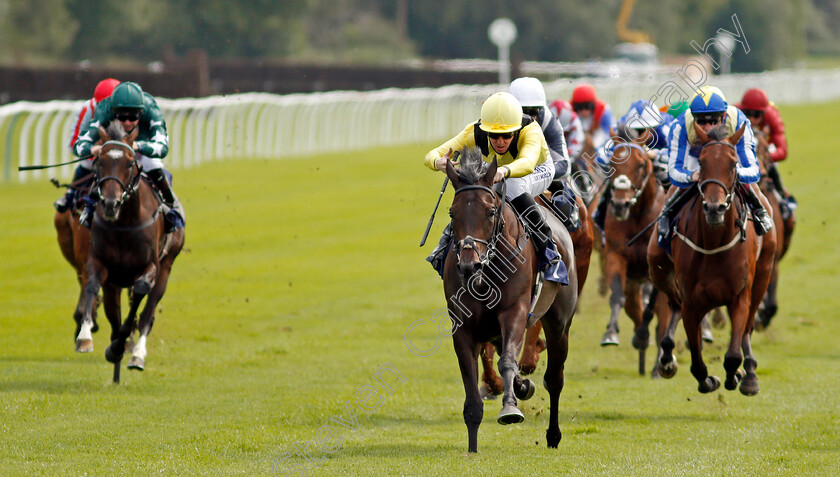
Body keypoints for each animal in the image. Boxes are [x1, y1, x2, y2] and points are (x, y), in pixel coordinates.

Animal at [74, 122, 185, 380]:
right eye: (99, 162)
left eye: (129, 163)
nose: (110, 204)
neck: (125, 223)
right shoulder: (99, 261)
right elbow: (92, 286)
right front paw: (85, 337)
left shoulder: (152, 266)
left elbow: (140, 296)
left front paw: (121, 347)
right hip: (114, 282)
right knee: (113, 313)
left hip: (166, 267)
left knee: (147, 314)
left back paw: (136, 355)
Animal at [440, 147, 576, 452]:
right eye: (453, 212)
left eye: (491, 212)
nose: (469, 265)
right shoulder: (462, 325)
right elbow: (470, 378)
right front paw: (472, 447)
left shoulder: (514, 311)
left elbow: (508, 362)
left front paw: (510, 409)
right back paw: (523, 387)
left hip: (559, 322)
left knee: (555, 379)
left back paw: (553, 435)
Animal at [596, 130, 668, 376]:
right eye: (612, 163)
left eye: (641, 164)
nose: (620, 204)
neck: (637, 217)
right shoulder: (616, 257)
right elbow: (617, 296)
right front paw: (610, 333)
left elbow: (659, 313)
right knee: (634, 308)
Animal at [648, 123, 776, 394]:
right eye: (702, 162)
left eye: (733, 163)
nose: (715, 208)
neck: (714, 244)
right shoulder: (692, 303)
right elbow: (697, 362)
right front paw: (709, 380)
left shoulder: (740, 296)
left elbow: (733, 355)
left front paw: (736, 375)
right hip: (658, 267)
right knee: (674, 302)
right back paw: (666, 359)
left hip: (764, 273)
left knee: (749, 327)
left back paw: (750, 374)